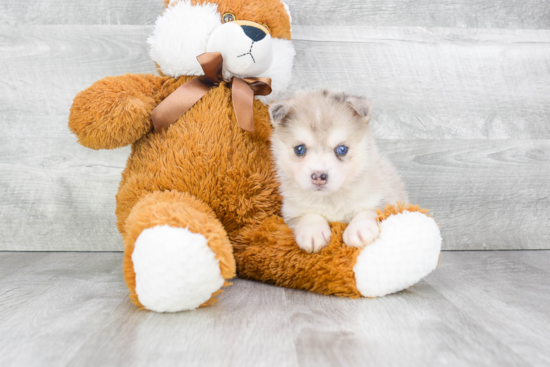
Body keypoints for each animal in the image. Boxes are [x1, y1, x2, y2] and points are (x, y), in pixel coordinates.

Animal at [270, 89, 408, 253]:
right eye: (299, 149)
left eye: (342, 149)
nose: (318, 176)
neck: (330, 199)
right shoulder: (291, 210)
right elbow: (308, 215)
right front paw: (312, 232)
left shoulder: (386, 199)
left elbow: (369, 210)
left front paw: (359, 229)